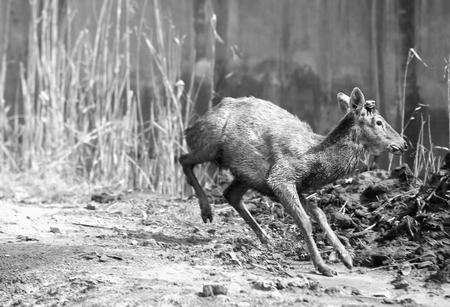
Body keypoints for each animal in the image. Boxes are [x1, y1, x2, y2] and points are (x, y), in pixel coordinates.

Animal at [179, 87, 408, 276]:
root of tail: (194, 124)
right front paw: (323, 267)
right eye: (379, 122)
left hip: (246, 174)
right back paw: (207, 210)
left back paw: (266, 238)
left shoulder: (297, 186)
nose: (404, 144)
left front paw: (346, 258)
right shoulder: (281, 177)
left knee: (230, 194)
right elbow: (305, 221)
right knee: (183, 159)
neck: (316, 159)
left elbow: (320, 214)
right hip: (210, 144)